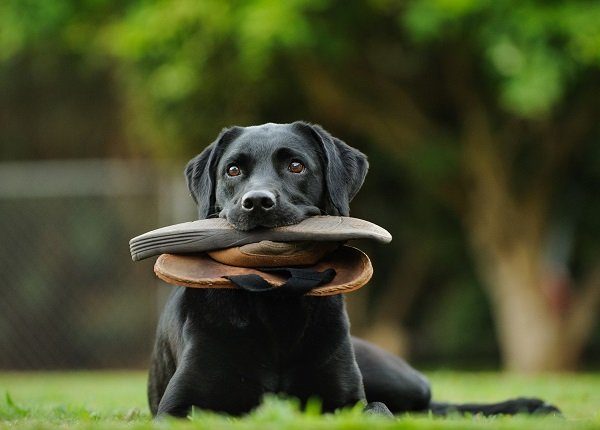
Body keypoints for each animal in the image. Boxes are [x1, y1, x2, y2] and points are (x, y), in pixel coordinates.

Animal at [148, 122, 560, 418]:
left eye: (296, 166)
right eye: (233, 170)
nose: (258, 202)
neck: (275, 302)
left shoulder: (346, 400)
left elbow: (378, 410)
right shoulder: (178, 408)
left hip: (396, 378)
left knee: (432, 407)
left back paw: (528, 406)